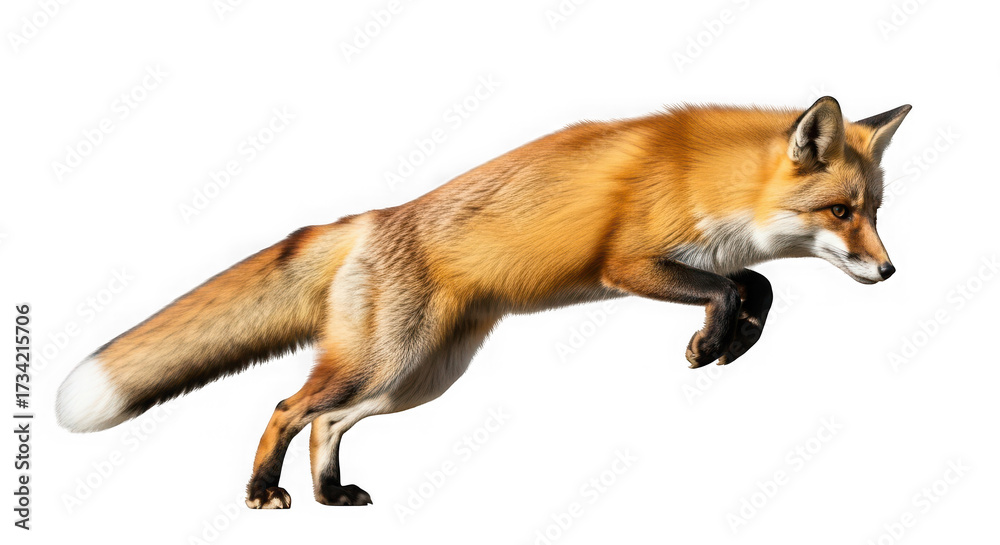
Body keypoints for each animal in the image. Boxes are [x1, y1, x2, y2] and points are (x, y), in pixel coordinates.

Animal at [56, 96, 910, 508]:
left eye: (874, 210)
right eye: (841, 212)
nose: (890, 270)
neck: (711, 181)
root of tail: (371, 219)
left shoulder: (694, 261)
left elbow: (756, 283)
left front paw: (730, 339)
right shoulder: (628, 262)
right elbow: (734, 282)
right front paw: (718, 335)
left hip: (418, 379)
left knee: (327, 422)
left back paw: (331, 496)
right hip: (383, 362)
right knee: (286, 407)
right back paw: (264, 492)